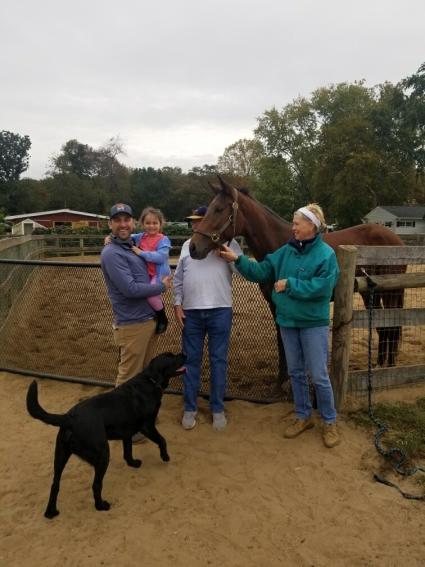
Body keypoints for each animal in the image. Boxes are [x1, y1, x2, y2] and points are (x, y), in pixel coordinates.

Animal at [26, 352, 186, 520]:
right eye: (172, 357)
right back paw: (101, 506)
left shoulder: (127, 431)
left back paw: (51, 512)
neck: (151, 379)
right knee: (96, 484)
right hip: (103, 453)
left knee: (55, 484)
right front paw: (165, 456)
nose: (185, 354)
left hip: (60, 455)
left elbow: (128, 451)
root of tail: (69, 417)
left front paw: (132, 463)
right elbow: (162, 440)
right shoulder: (147, 426)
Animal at [189, 178, 404, 382]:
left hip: (389, 292)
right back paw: (382, 364)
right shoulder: (274, 304)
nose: (193, 248)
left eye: (218, 209)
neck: (281, 243)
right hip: (370, 292)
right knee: (385, 326)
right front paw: (281, 379)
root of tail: (396, 240)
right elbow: (281, 339)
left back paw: (387, 367)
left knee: (390, 326)